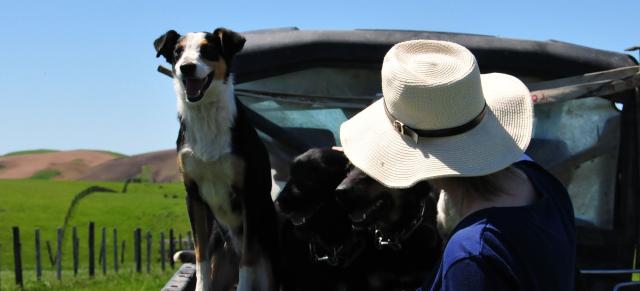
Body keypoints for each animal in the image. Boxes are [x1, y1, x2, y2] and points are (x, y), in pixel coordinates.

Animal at [154, 28, 278, 291]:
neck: (206, 115)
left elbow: (247, 262)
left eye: (207, 50)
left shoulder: (248, 195)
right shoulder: (194, 196)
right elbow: (201, 257)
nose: (186, 67)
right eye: (177, 52)